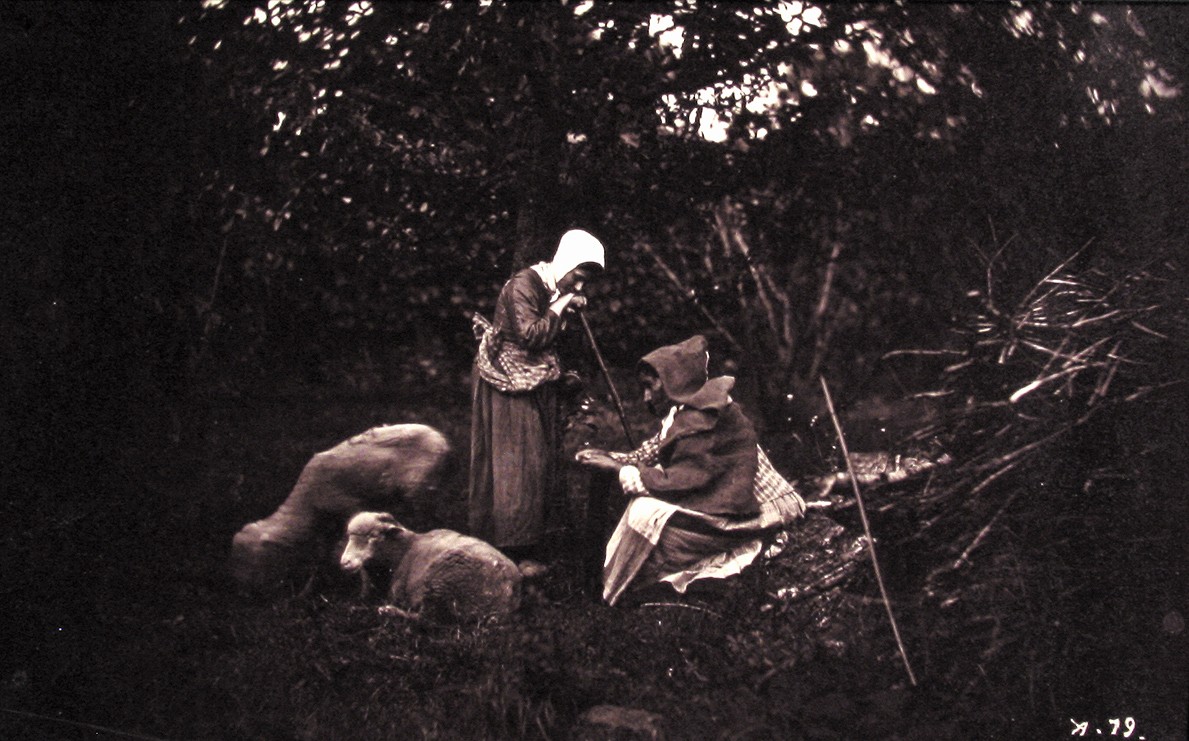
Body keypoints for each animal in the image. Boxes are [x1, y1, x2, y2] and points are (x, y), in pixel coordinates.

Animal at [230, 425, 449, 594]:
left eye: (257, 560)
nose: (243, 593)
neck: (307, 503)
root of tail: (443, 442)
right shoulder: (330, 529)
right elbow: (320, 559)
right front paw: (307, 592)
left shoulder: (351, 511)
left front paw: (363, 593)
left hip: (420, 494)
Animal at [335, 513, 520, 623]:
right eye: (349, 537)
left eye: (373, 536)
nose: (346, 562)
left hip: (442, 580)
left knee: (428, 618)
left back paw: (389, 611)